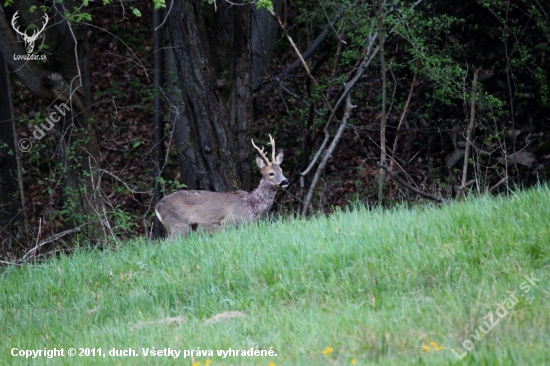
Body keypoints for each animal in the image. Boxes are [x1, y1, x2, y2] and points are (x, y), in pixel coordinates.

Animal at [155, 135, 288, 237]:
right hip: (178, 225)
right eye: (271, 173)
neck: (253, 206)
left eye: (281, 170)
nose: (285, 181)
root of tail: (157, 206)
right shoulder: (229, 222)